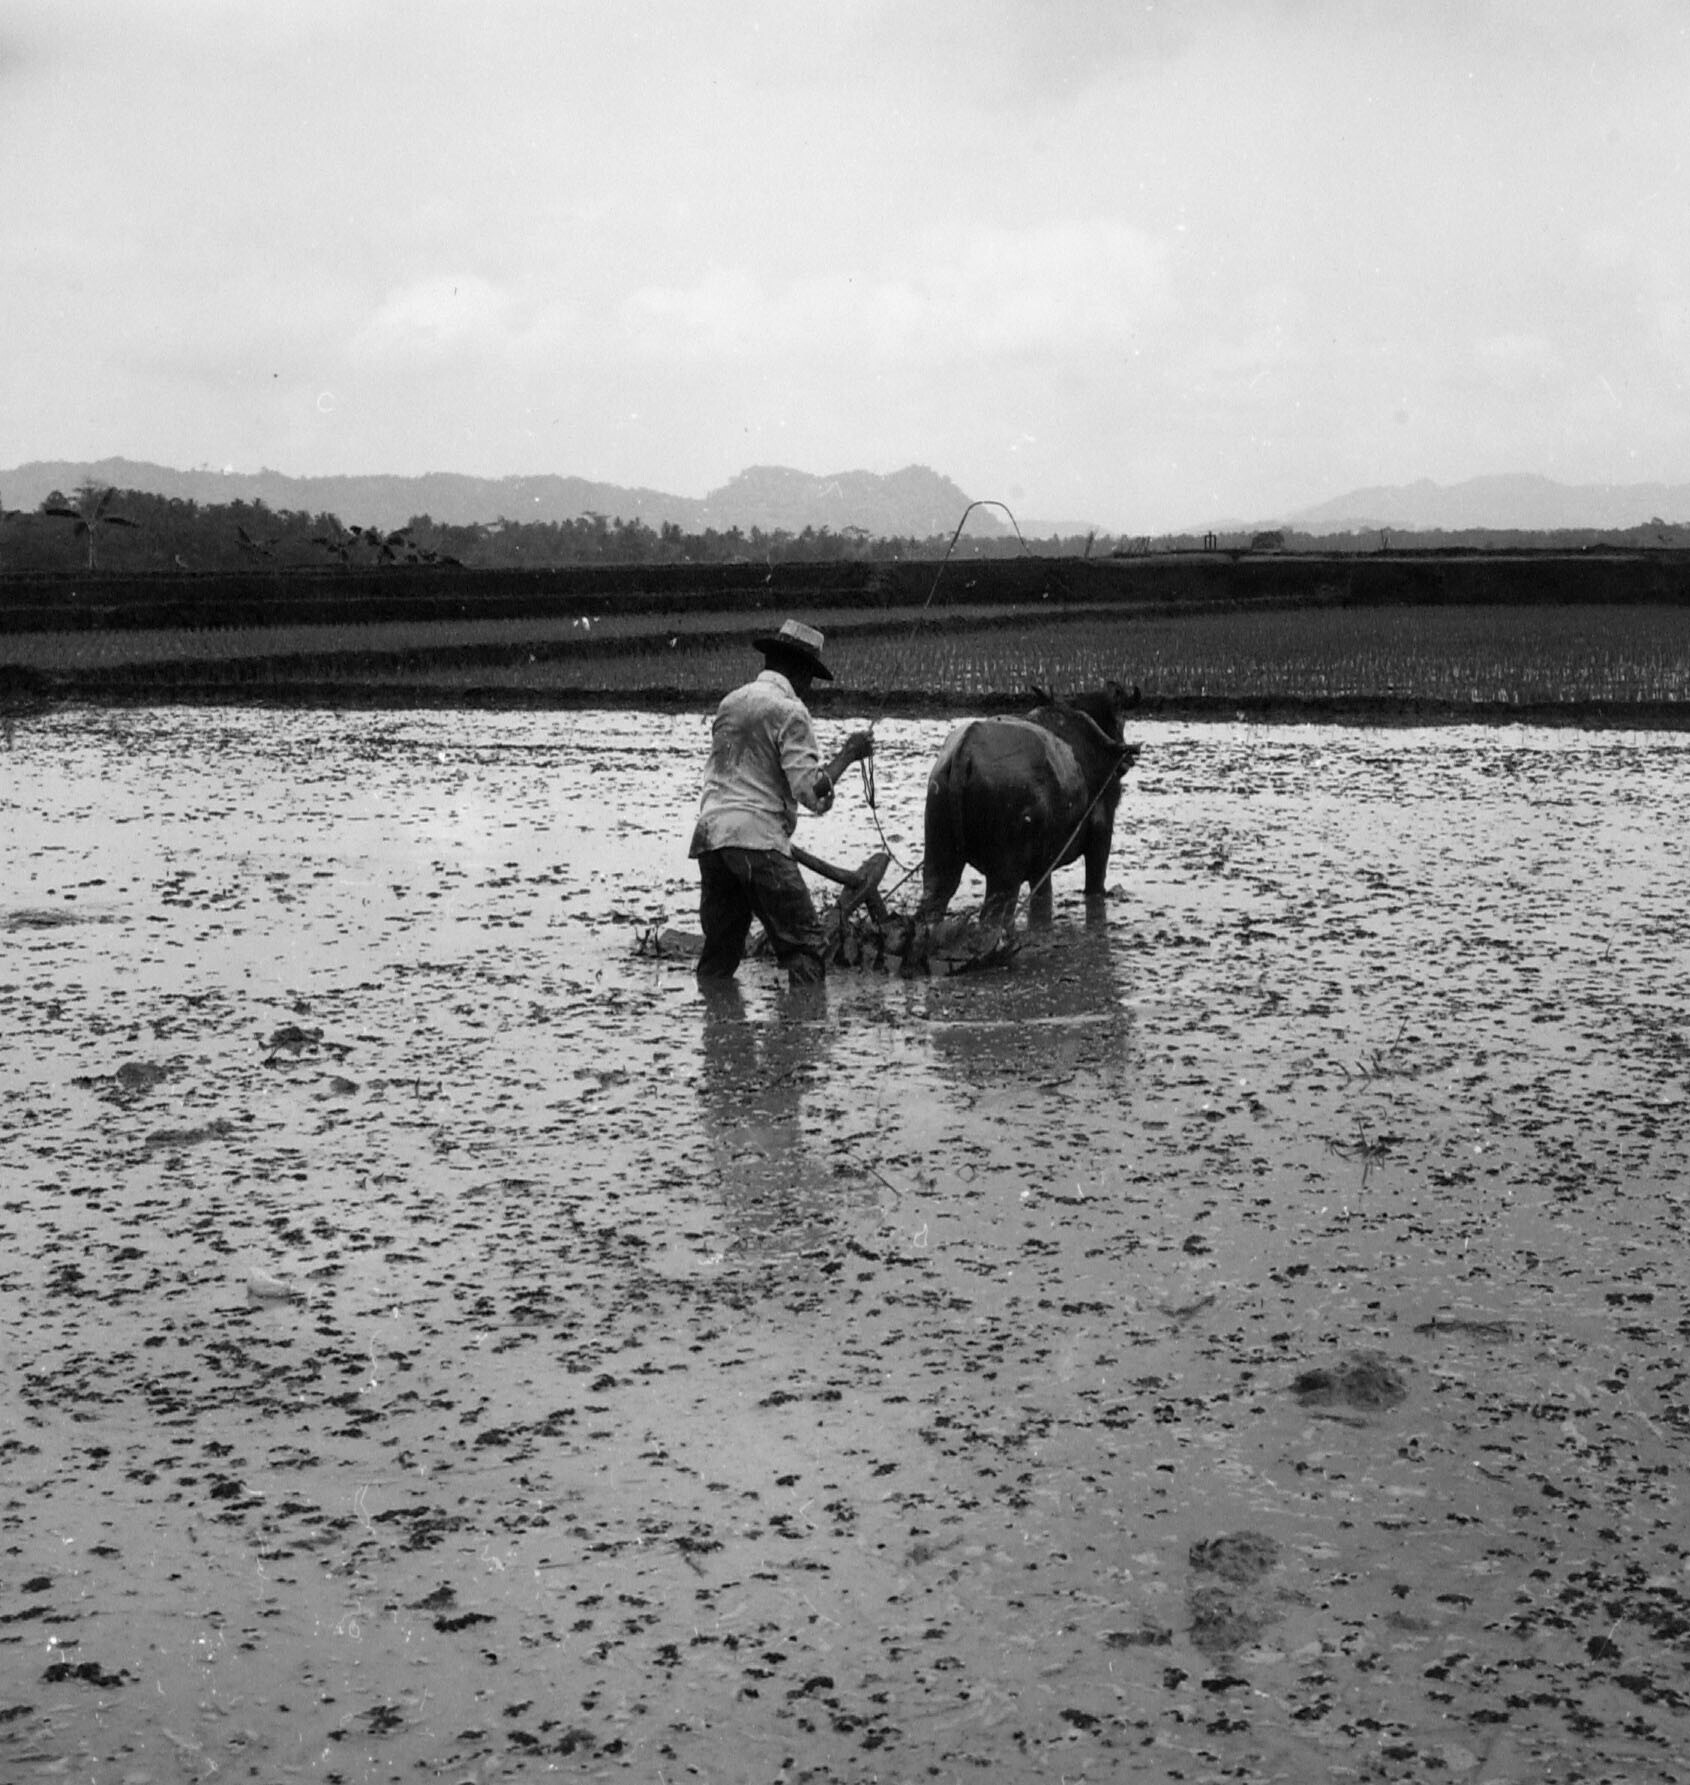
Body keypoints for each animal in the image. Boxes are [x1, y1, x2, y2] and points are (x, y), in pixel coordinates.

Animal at [916, 681, 1142, 930]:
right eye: (1121, 720)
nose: (1128, 761)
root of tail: (964, 751)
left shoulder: (1042, 867)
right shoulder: (1101, 833)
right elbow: (1095, 885)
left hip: (939, 858)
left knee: (934, 900)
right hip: (1004, 876)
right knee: (992, 918)